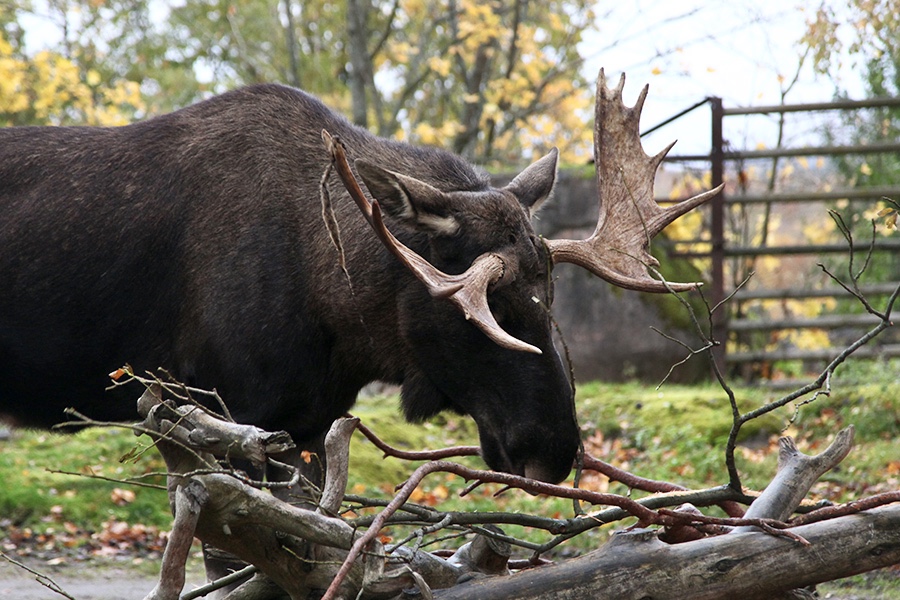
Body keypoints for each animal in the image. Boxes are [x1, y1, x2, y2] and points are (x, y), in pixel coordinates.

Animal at [0, 69, 716, 488]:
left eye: (550, 295)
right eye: (486, 308)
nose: (554, 449)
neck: (343, 328)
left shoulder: (307, 424)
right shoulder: (225, 417)